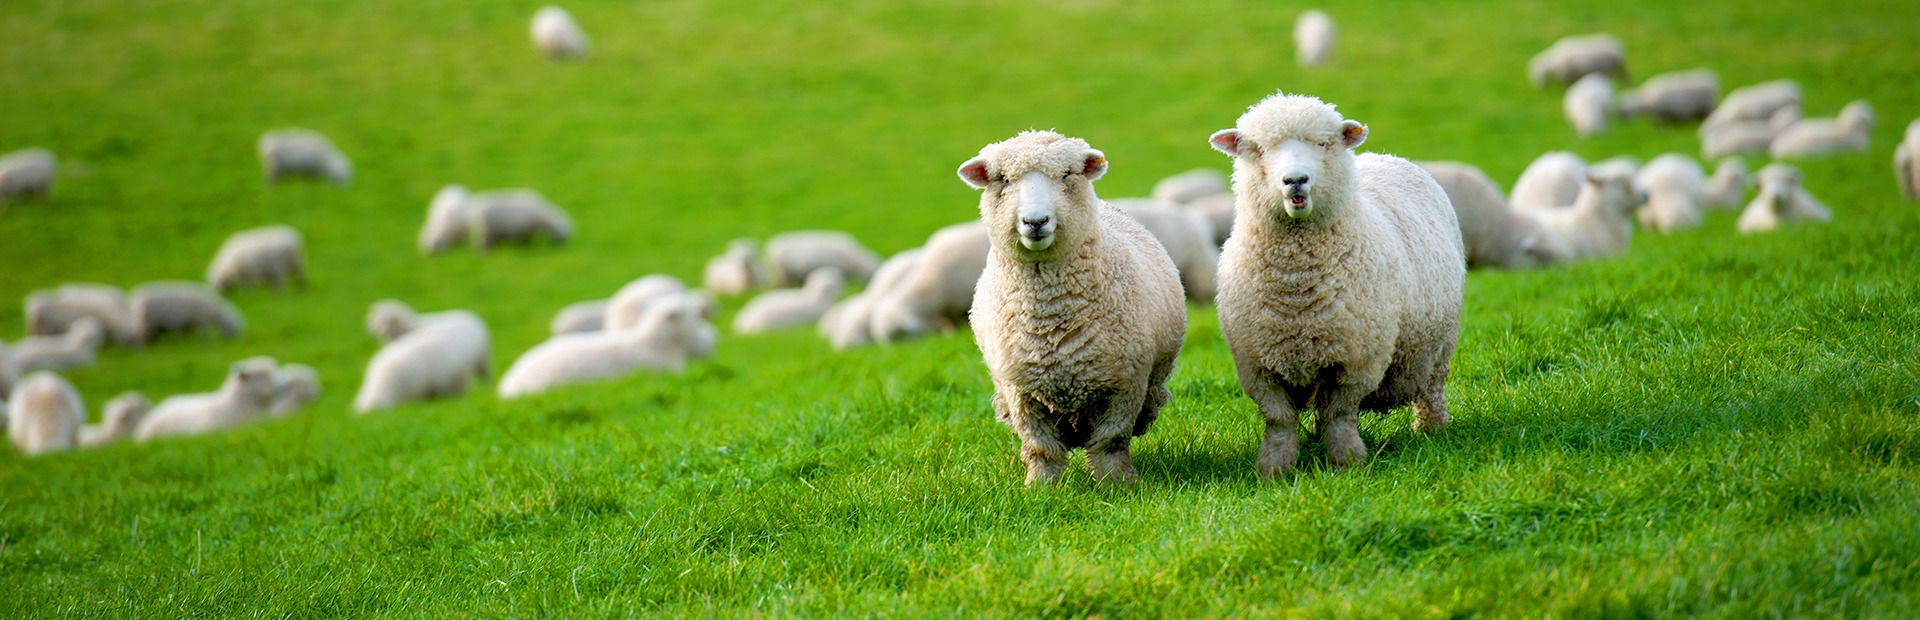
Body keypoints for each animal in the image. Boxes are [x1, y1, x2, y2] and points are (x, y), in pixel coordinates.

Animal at [958, 130, 1186, 484]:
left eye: (1066, 175)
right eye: (1004, 179)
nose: (1035, 221)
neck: (1050, 316)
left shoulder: (1125, 384)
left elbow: (1110, 441)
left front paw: (1117, 484)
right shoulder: (1021, 391)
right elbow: (1041, 447)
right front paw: (1041, 487)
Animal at [1209, 93, 1464, 476]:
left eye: (1322, 144)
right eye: (1260, 149)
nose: (1295, 179)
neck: (1296, 283)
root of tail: (1383, 156)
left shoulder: (1358, 360)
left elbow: (1341, 414)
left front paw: (1347, 463)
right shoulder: (1256, 365)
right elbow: (1280, 420)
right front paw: (1274, 469)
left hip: (1441, 345)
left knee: (1431, 390)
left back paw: (1431, 430)